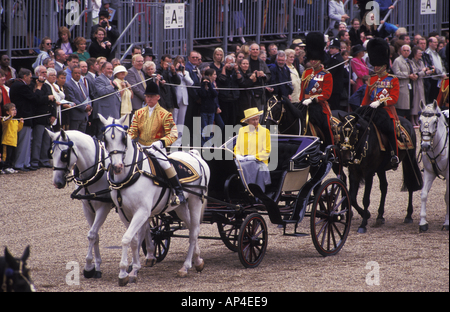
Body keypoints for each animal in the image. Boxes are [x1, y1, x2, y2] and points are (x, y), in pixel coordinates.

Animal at [45, 129, 155, 278]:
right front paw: (96, 266)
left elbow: (92, 234)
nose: (57, 182)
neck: (96, 168)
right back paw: (150, 254)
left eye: (64, 155)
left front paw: (88, 266)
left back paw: (135, 262)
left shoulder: (103, 208)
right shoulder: (87, 208)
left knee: (141, 230)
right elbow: (95, 235)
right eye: (51, 153)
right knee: (145, 227)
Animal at [98, 114, 211, 286]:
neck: (132, 173)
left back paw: (186, 266)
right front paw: (133, 270)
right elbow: (134, 240)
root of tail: (195, 155)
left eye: (123, 138)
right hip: (181, 207)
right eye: (105, 139)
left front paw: (123, 273)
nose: (117, 167)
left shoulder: (142, 212)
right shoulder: (124, 214)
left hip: (195, 201)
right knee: (191, 228)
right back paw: (197, 261)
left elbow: (126, 239)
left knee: (194, 231)